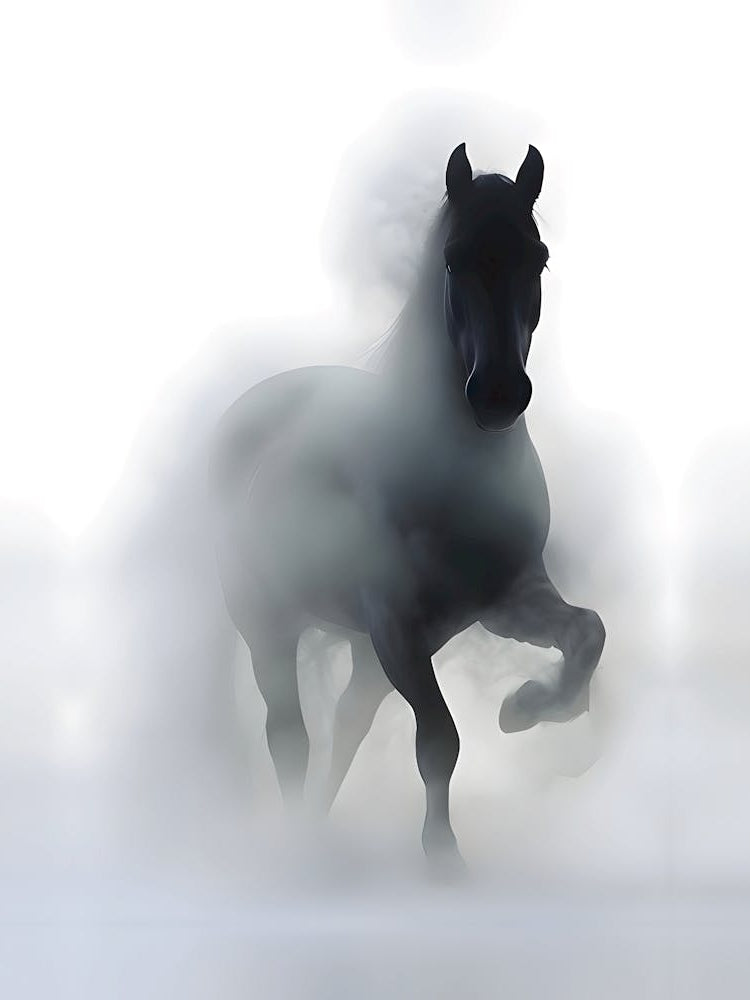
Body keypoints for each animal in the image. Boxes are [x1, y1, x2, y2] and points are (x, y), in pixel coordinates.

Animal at [210, 143, 605, 864]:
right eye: (454, 258)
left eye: (538, 257)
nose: (498, 395)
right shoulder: (395, 622)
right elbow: (440, 740)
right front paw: (443, 856)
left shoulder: (503, 602)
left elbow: (588, 631)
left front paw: (527, 710)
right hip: (269, 625)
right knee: (290, 734)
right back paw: (298, 844)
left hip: (370, 650)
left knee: (347, 722)